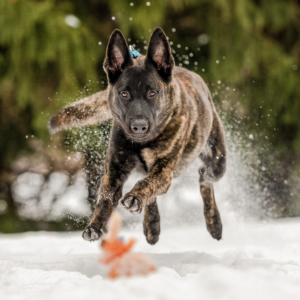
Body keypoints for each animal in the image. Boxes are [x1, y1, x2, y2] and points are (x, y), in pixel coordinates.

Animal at [49, 27, 226, 244]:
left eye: (152, 93)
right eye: (124, 94)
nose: (139, 126)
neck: (141, 143)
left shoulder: (164, 170)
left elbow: (147, 183)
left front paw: (134, 197)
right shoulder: (114, 171)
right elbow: (105, 199)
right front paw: (95, 226)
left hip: (216, 162)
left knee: (204, 177)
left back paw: (214, 223)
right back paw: (152, 225)